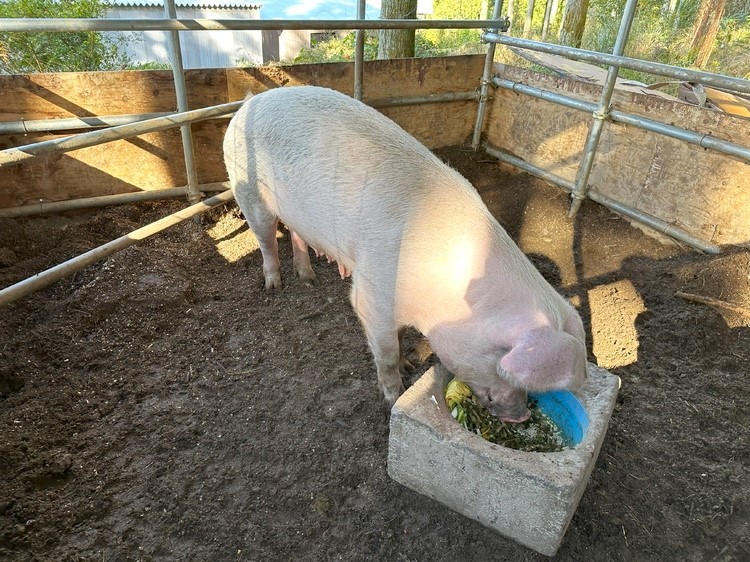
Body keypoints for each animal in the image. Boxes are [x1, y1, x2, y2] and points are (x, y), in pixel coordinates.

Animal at [223, 85, 588, 420]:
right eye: (500, 357)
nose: (522, 416)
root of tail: (249, 103)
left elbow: (398, 341)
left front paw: (410, 365)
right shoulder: (373, 295)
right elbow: (384, 352)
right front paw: (394, 396)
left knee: (297, 233)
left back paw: (309, 278)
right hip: (247, 190)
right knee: (267, 240)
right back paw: (275, 286)